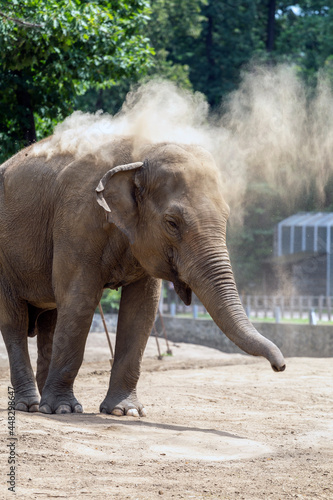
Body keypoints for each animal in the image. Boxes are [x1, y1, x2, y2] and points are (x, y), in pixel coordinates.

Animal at [0, 135, 284, 416]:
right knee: (15, 321)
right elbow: (79, 299)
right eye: (172, 223)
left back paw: (42, 405)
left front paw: (125, 411)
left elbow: (142, 307)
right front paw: (65, 409)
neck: (140, 153)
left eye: (226, 217)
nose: (279, 367)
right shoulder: (76, 222)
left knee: (50, 319)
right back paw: (31, 405)